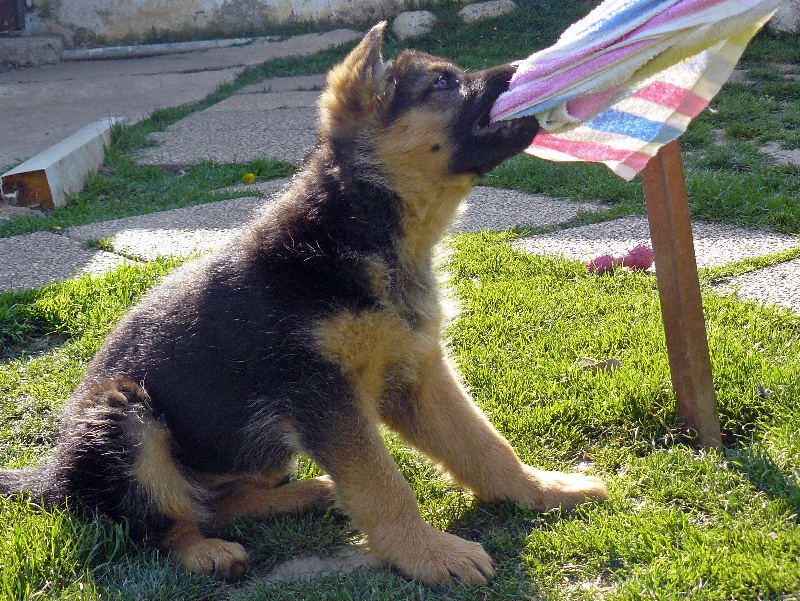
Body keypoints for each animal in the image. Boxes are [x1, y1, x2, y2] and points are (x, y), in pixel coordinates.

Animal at [0, 23, 608, 586]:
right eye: (442, 83)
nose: (530, 68)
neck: (359, 231)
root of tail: (49, 481)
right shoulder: (324, 394)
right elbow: (383, 485)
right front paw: (430, 554)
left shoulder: (416, 372)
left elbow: (483, 444)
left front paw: (540, 489)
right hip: (126, 415)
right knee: (157, 523)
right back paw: (204, 551)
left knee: (216, 501)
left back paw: (303, 494)